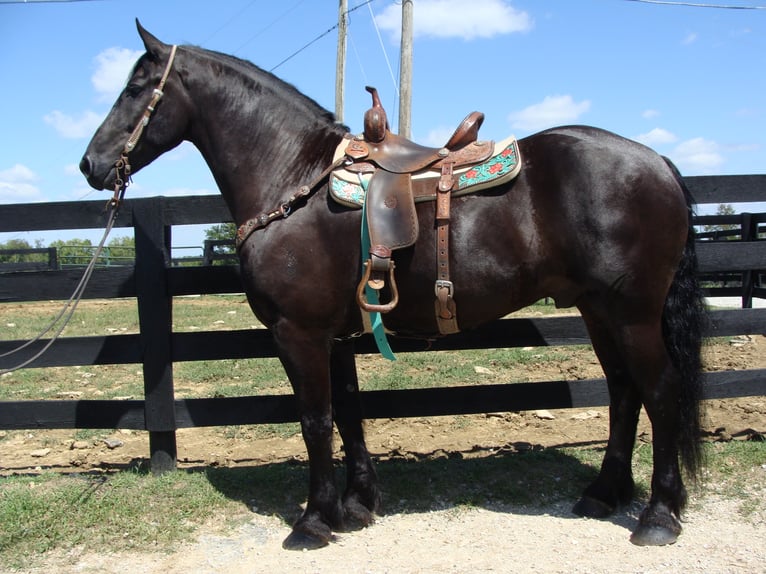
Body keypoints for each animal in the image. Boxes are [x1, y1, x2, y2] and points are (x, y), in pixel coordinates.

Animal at [79, 22, 708, 552]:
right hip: (599, 312)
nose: (90, 164)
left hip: (632, 314)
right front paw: (356, 505)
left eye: (135, 88)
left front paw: (313, 522)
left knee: (660, 392)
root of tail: (656, 161)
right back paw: (605, 494)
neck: (294, 178)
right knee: (624, 392)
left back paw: (658, 516)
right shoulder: (334, 336)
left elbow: (315, 421)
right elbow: (348, 413)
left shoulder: (297, 334)